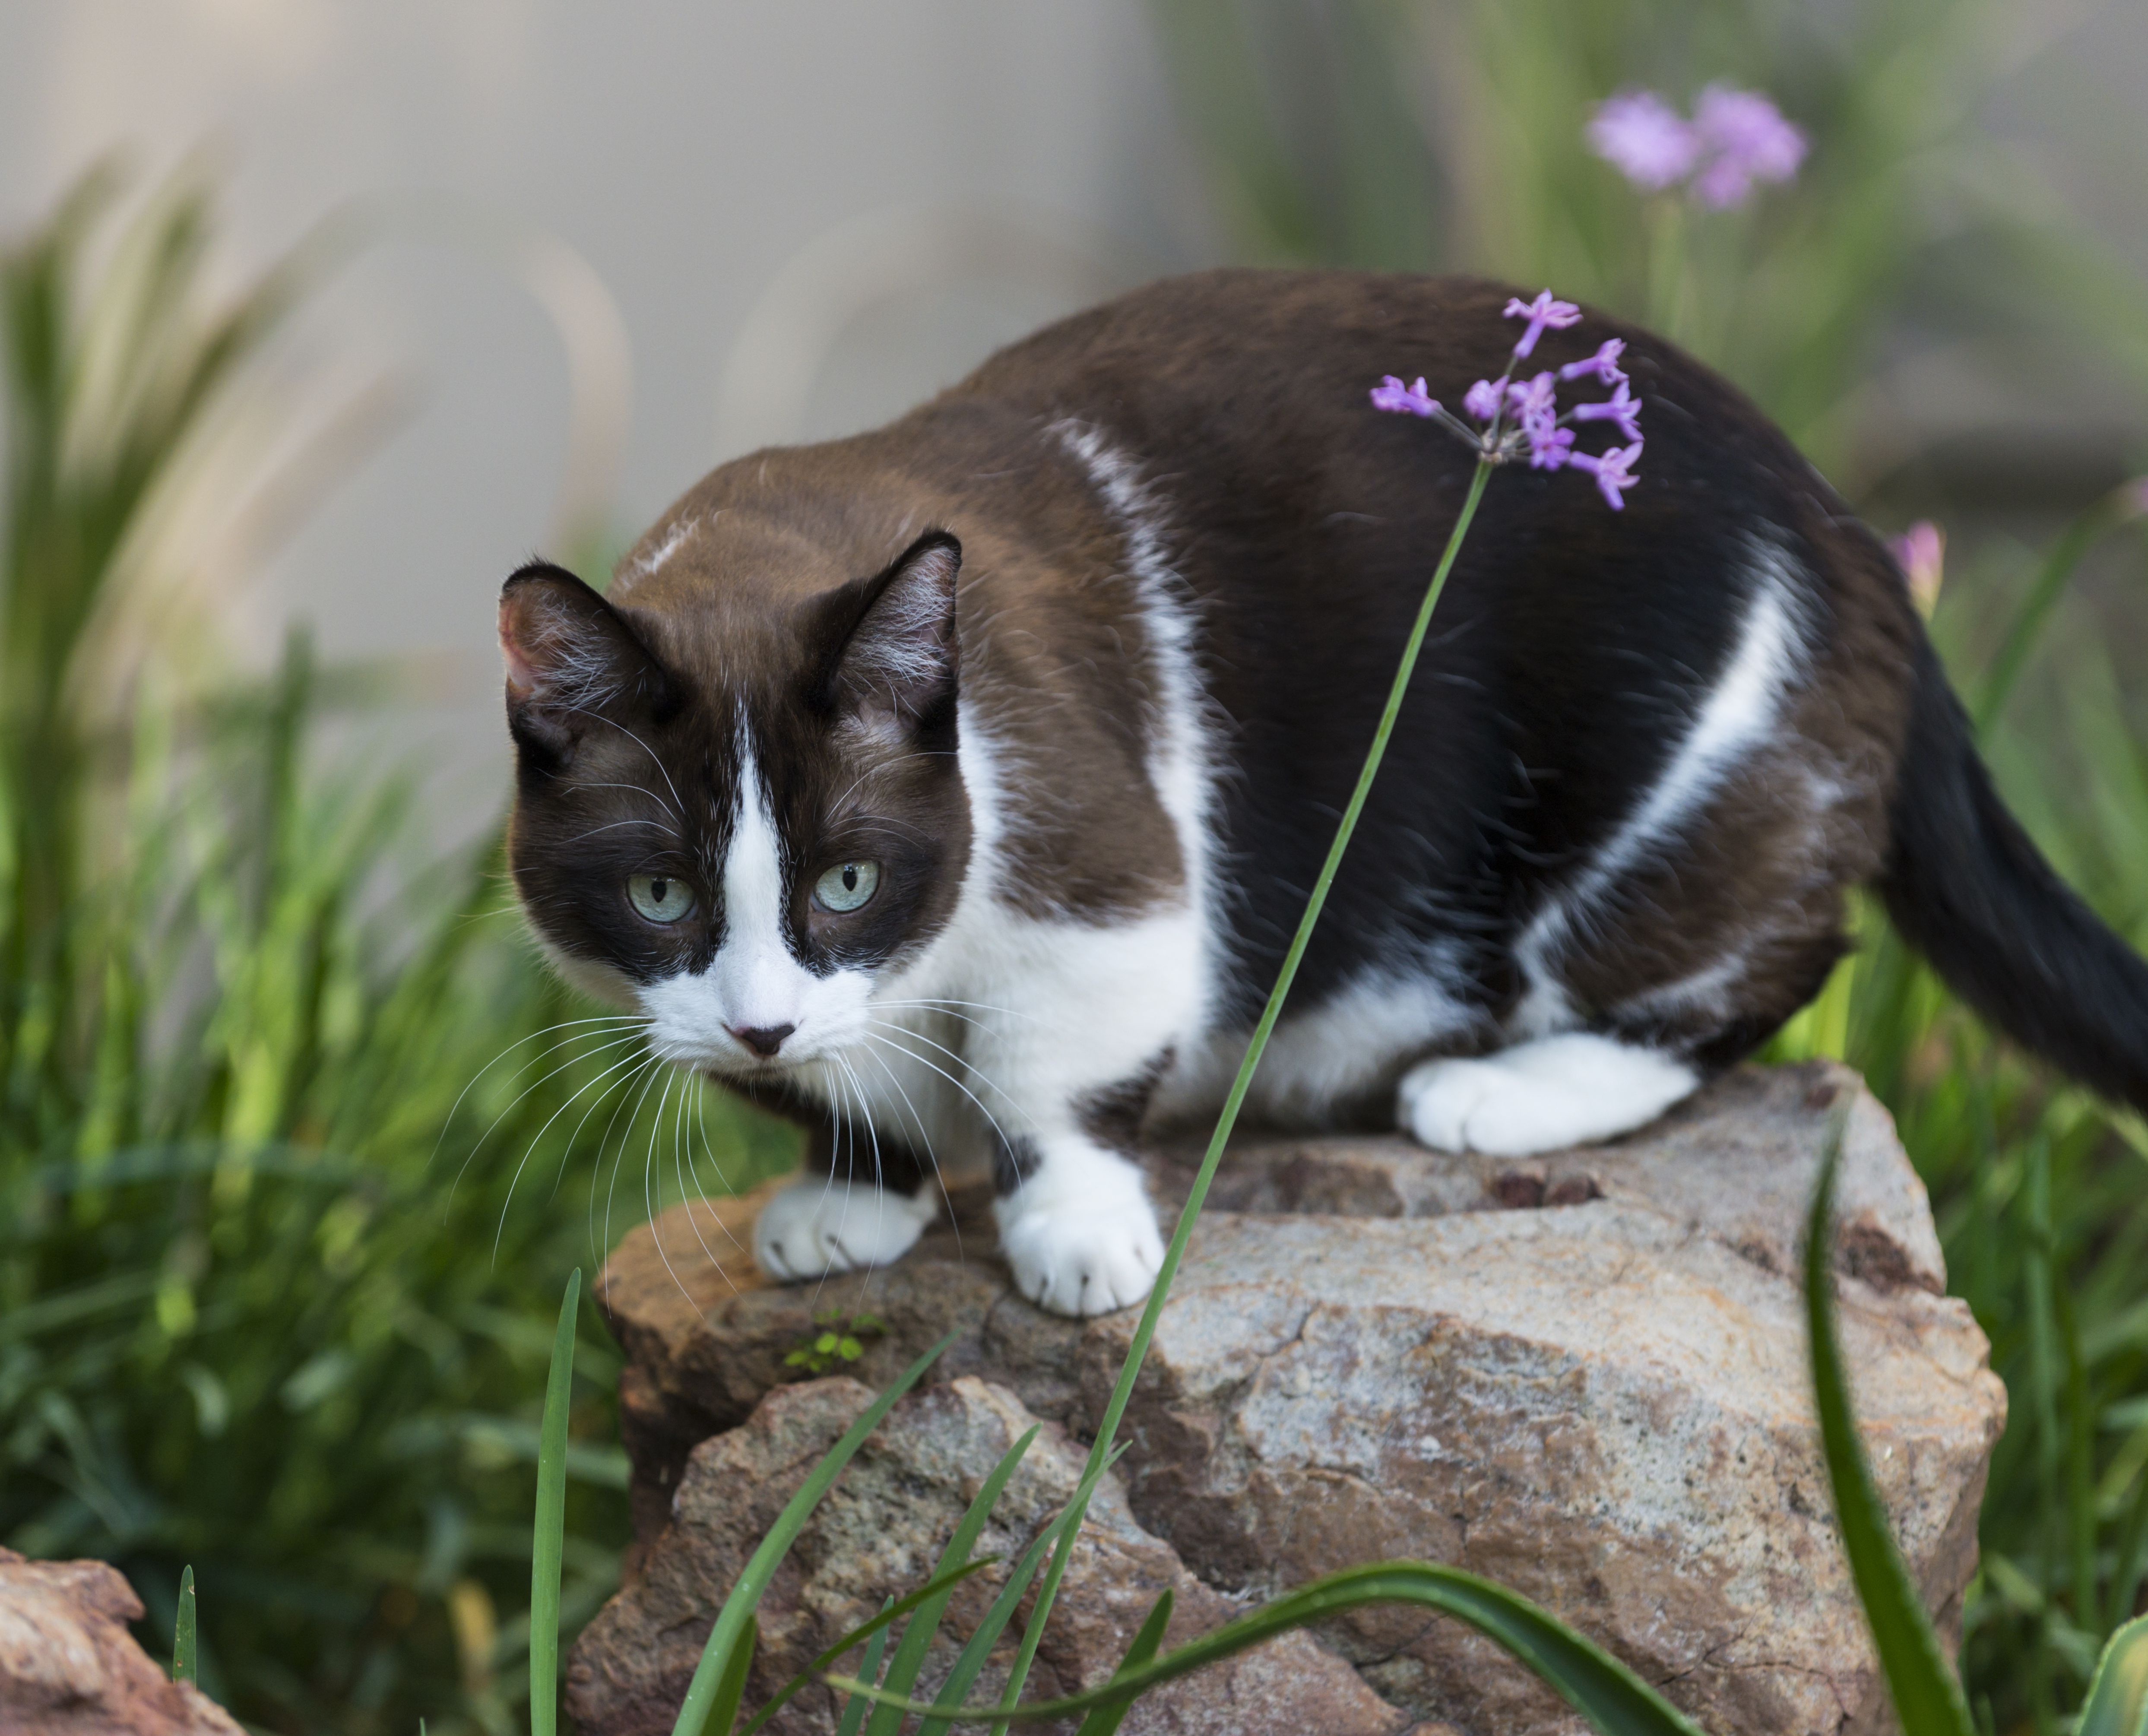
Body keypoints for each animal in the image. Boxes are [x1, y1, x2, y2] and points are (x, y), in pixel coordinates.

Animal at [494, 275, 2148, 1315]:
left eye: (844, 877)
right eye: (657, 892)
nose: (759, 1022)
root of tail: (1855, 533)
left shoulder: (1102, 866)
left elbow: (1056, 1076)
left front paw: (1078, 1231)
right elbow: (852, 1090)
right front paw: (855, 1188)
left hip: (1691, 779)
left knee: (1762, 958)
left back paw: (1491, 1087)